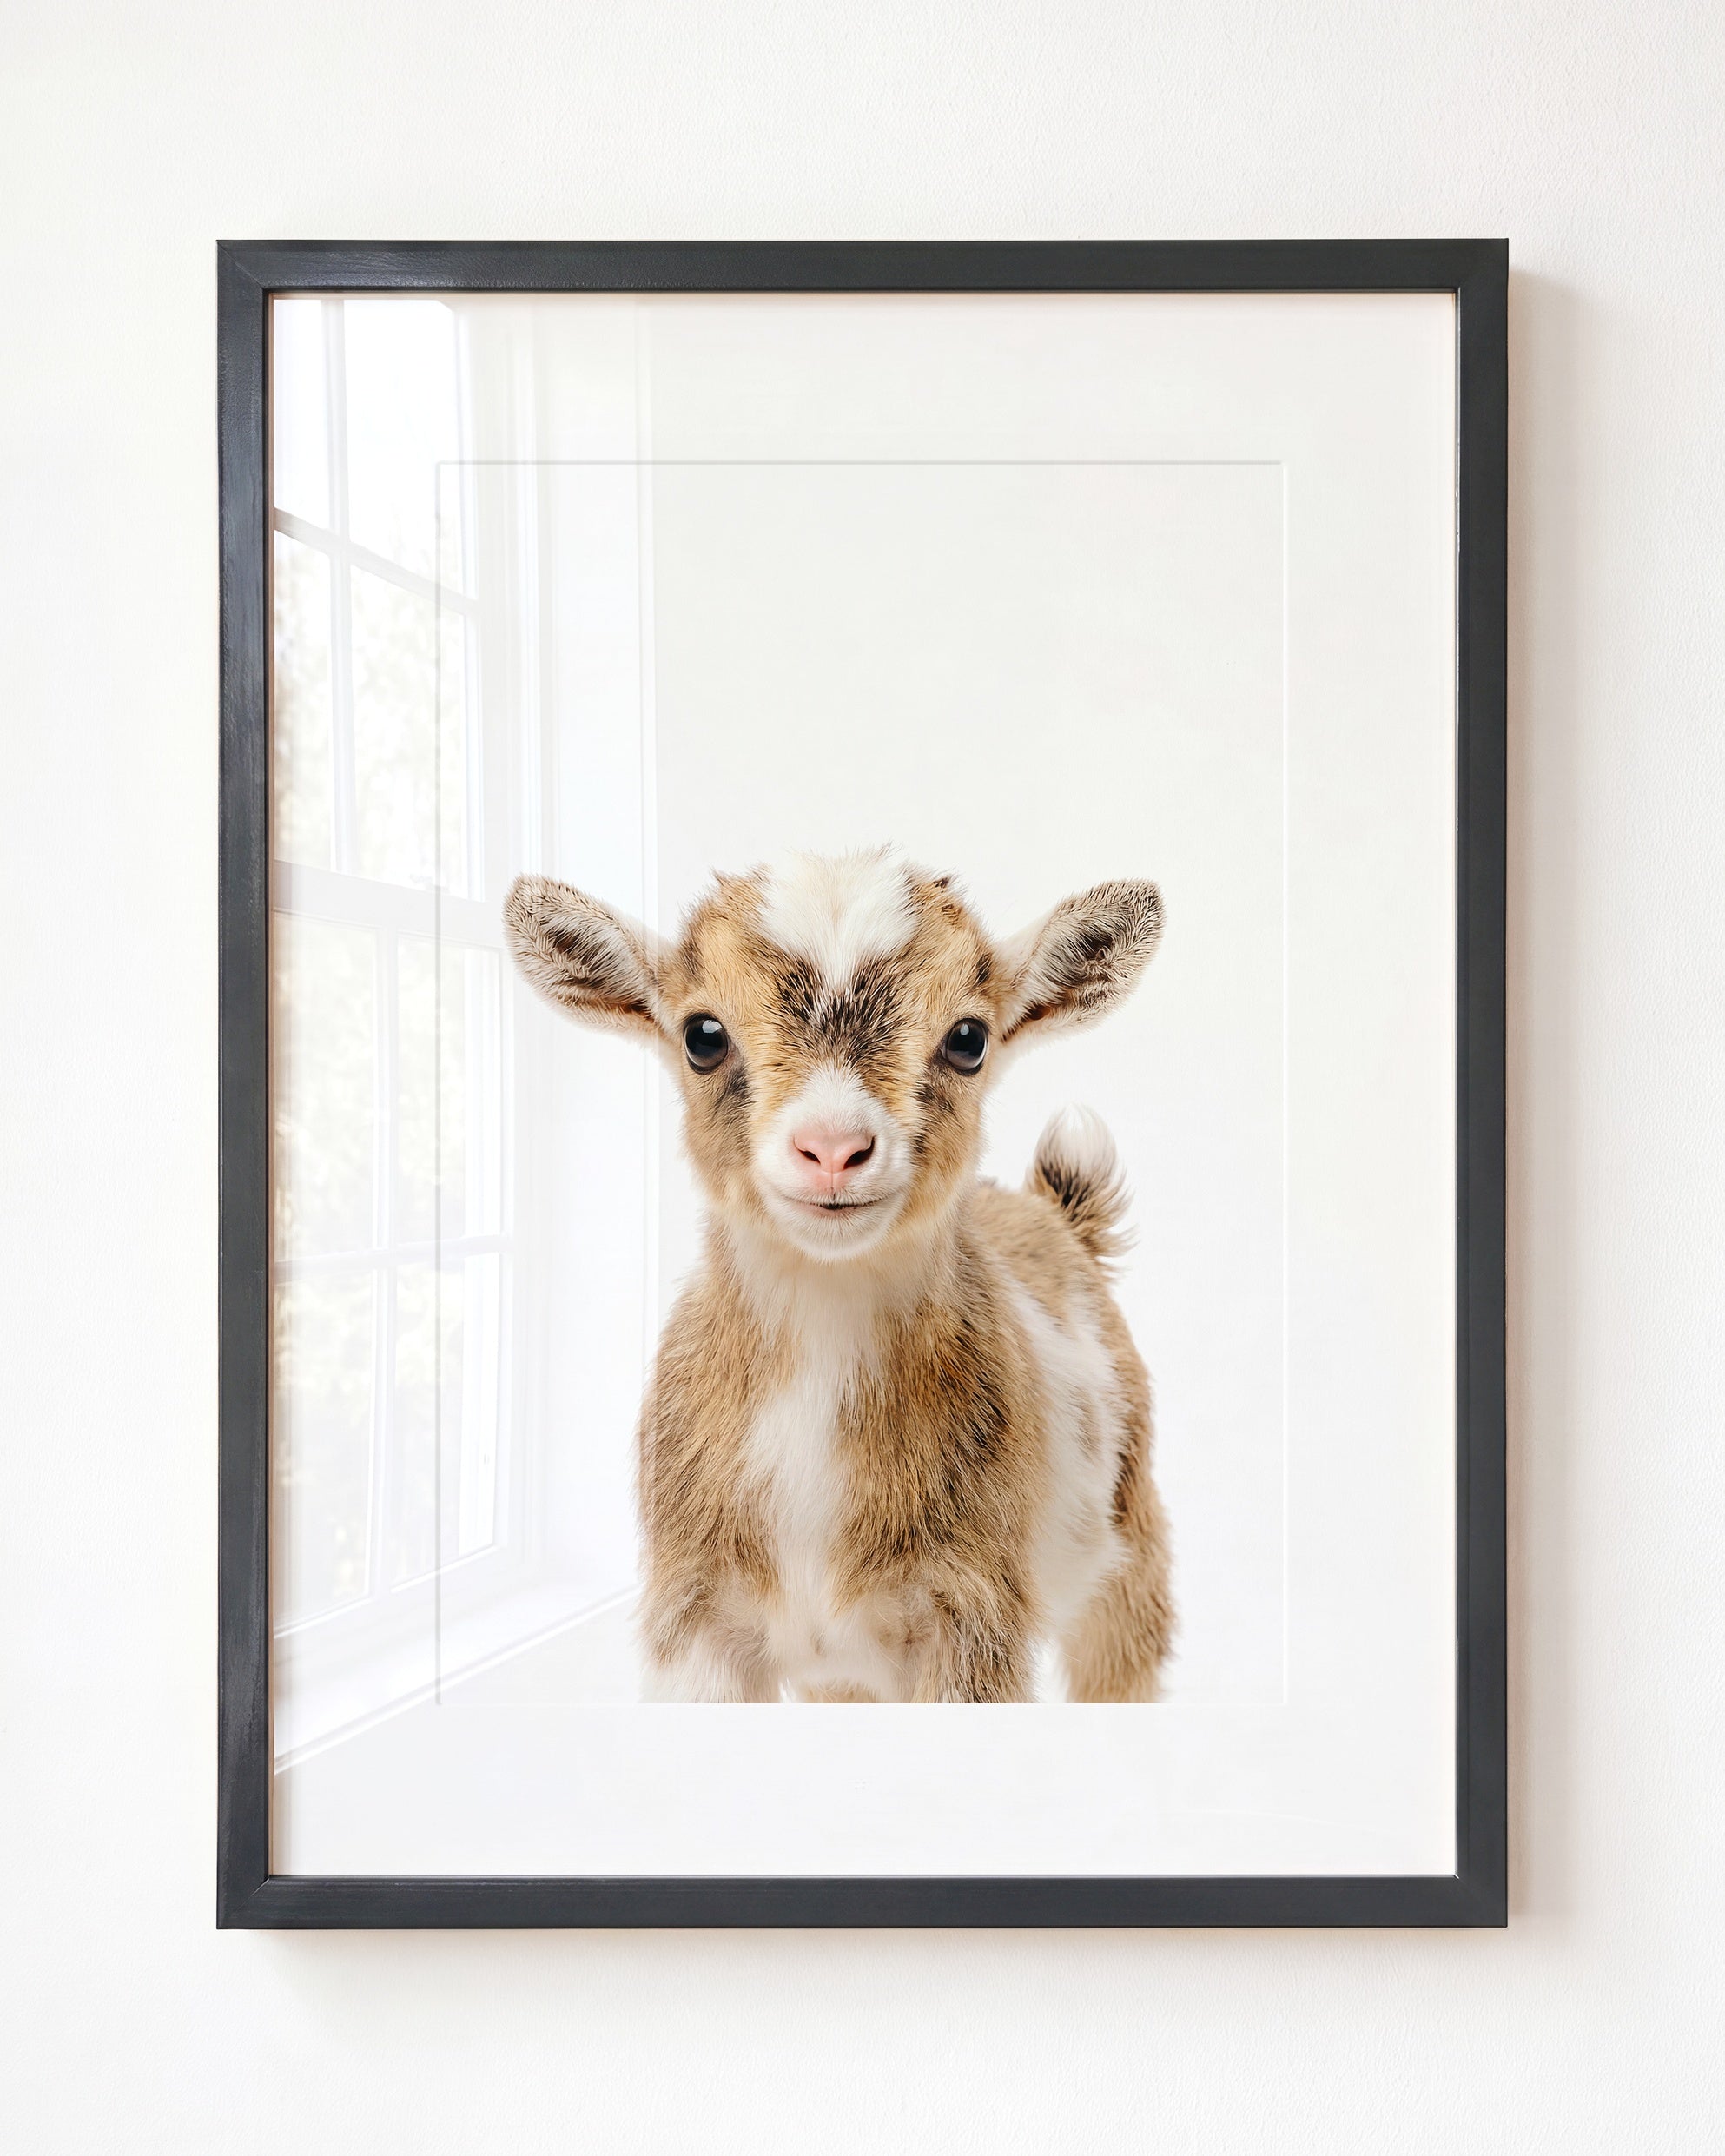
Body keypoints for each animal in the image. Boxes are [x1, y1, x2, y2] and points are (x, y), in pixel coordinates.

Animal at [504, 847, 1173, 1702]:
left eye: (968, 1039)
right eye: (702, 1035)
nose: (831, 1148)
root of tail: (1057, 1215)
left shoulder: (974, 1614)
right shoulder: (694, 1617)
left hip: (1132, 1549)